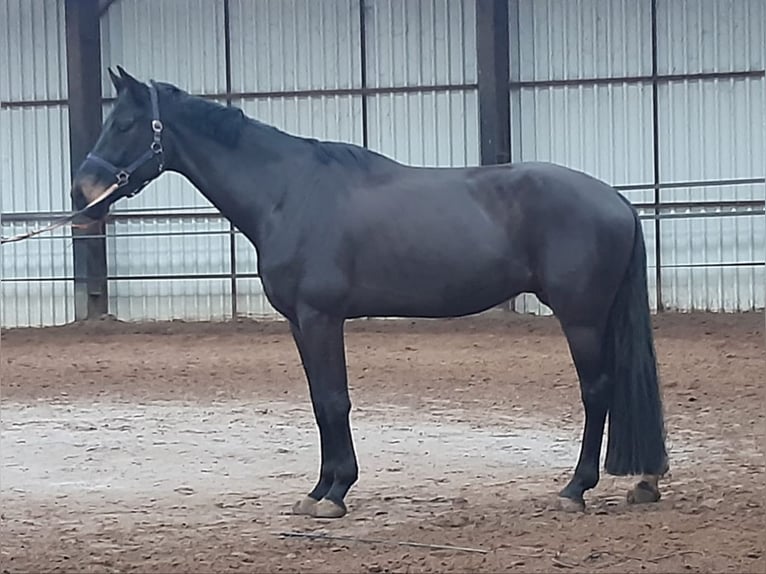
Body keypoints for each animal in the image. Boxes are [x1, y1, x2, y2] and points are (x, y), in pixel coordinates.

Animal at [71, 67, 669, 519]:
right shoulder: (300, 323)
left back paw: (575, 489)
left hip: (581, 318)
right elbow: (320, 402)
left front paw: (336, 494)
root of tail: (615, 199)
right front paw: (318, 490)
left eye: (125, 124)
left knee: (597, 391)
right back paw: (642, 482)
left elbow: (335, 399)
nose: (82, 194)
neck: (288, 192)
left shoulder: (320, 317)